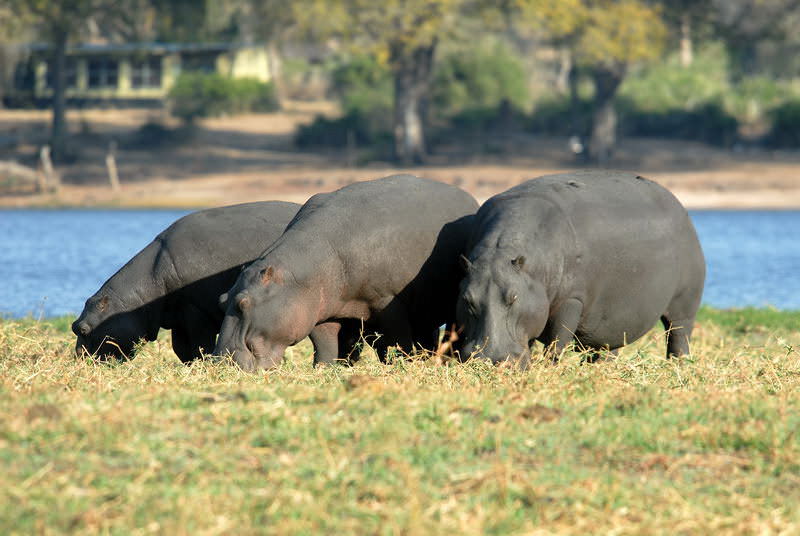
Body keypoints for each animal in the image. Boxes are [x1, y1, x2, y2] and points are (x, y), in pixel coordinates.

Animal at [73, 202, 310, 364]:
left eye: (83, 329)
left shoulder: (195, 313)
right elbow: (182, 349)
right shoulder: (179, 318)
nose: (78, 361)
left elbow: (198, 345)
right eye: (73, 326)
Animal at [212, 174, 478, 370]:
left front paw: (398, 366)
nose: (221, 362)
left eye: (244, 303)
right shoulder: (321, 311)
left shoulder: (390, 305)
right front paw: (324, 369)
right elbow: (325, 345)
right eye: (221, 299)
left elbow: (396, 342)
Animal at [456, 172, 708, 364]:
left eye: (513, 297)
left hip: (684, 304)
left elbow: (557, 342)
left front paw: (549, 368)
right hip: (614, 318)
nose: (489, 359)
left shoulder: (572, 300)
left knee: (678, 337)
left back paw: (678, 366)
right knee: (608, 349)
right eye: (467, 299)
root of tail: (680, 207)